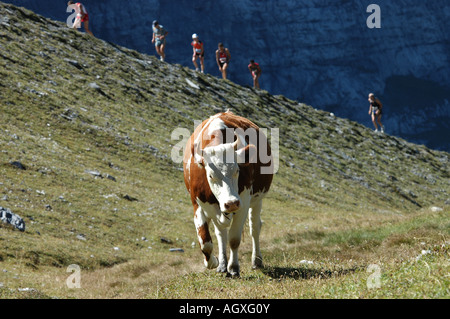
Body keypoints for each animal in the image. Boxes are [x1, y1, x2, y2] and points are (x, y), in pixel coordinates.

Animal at [183, 112, 274, 278]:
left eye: (237, 170)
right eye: (210, 175)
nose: (231, 203)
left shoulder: (243, 202)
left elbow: (234, 239)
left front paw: (234, 267)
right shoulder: (198, 203)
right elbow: (205, 242)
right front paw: (213, 262)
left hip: (257, 201)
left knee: (254, 228)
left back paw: (256, 261)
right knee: (221, 234)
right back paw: (222, 265)